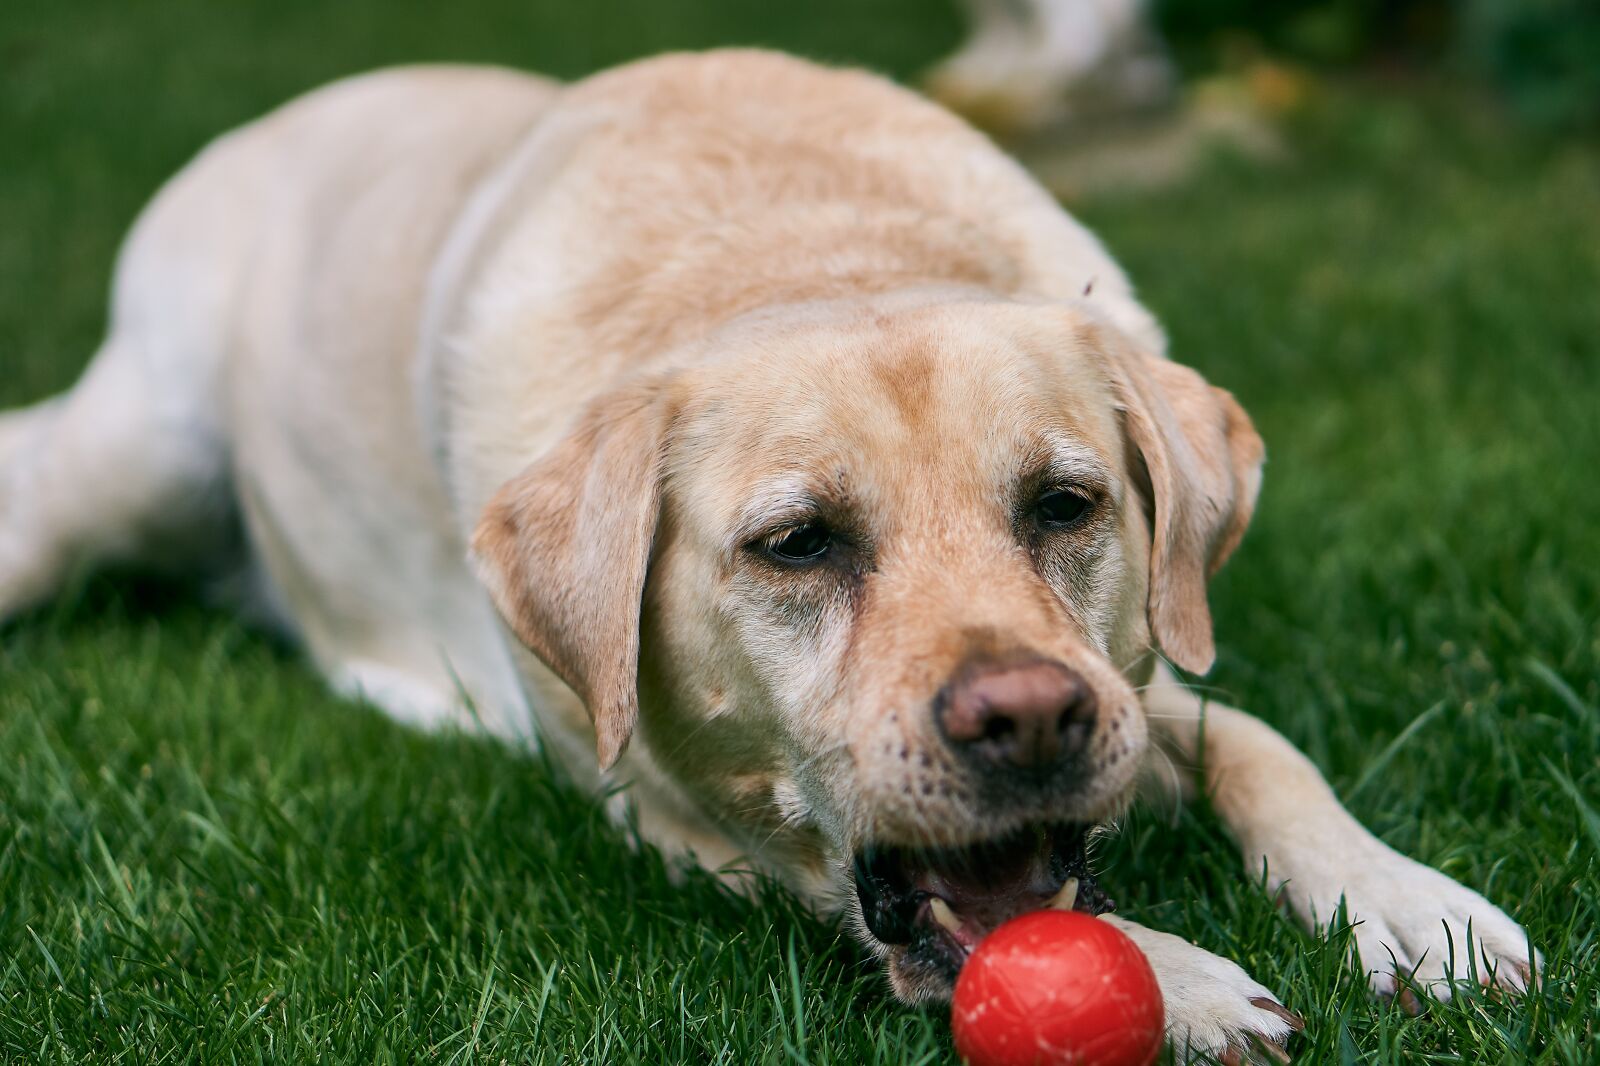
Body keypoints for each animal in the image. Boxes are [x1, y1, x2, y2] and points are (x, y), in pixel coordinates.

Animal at [3, 47, 1536, 1056]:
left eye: (1065, 505)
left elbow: (1259, 744)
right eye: (798, 543)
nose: (1029, 716)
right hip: (133, 460)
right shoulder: (681, 819)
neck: (802, 247)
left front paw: (1405, 904)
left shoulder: (1137, 679)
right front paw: (1189, 982)